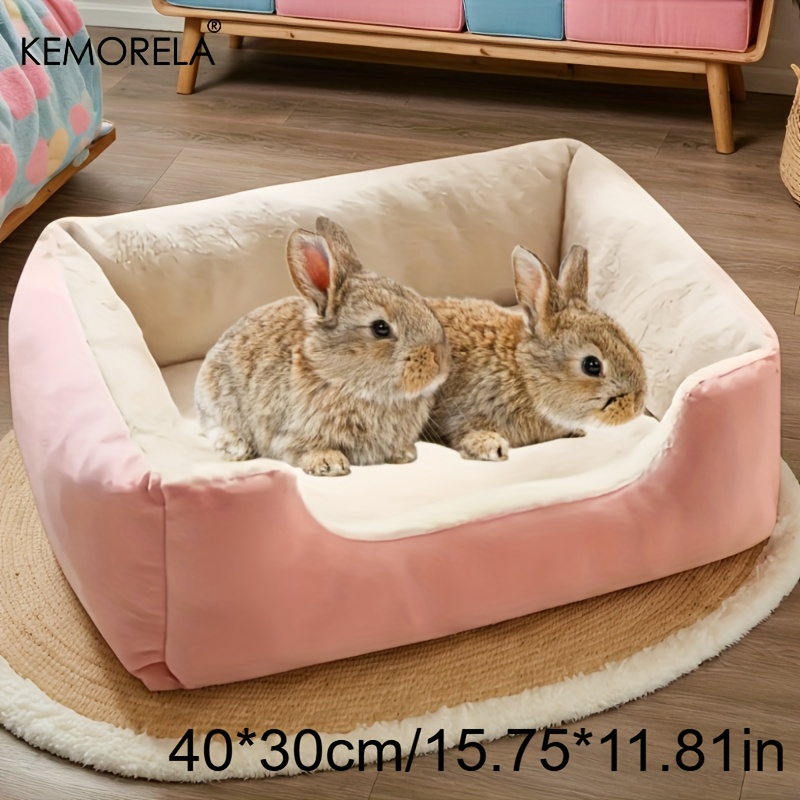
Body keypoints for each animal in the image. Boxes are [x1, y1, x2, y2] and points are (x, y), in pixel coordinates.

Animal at [195, 216, 451, 477]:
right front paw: (329, 463)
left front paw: (404, 454)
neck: (335, 377)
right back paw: (236, 448)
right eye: (381, 328)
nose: (440, 363)